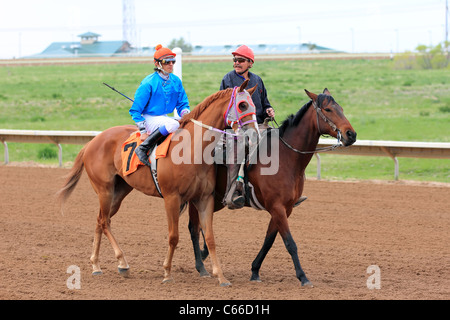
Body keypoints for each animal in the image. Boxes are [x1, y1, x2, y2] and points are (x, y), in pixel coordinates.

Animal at [56, 80, 258, 288]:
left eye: (254, 106)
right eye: (243, 105)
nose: (254, 135)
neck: (191, 149)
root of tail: (92, 142)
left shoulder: (204, 199)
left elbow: (210, 238)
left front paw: (221, 277)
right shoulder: (171, 197)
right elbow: (173, 236)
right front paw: (167, 272)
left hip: (119, 191)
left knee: (100, 220)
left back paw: (96, 265)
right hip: (104, 189)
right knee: (104, 222)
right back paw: (122, 263)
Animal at [188, 88, 356, 288]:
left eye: (341, 108)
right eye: (328, 109)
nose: (351, 134)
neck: (285, 157)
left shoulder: (285, 208)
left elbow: (269, 240)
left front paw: (255, 271)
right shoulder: (277, 207)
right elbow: (290, 243)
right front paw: (303, 277)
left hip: (216, 200)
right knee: (193, 227)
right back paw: (200, 266)